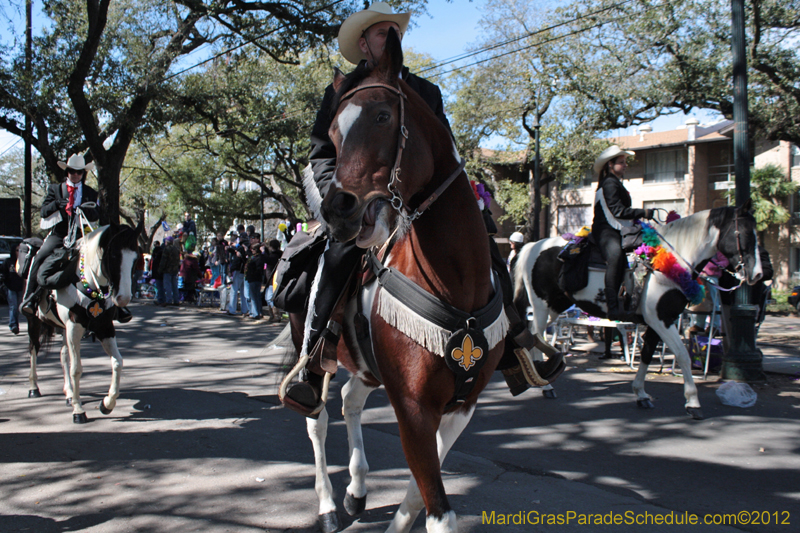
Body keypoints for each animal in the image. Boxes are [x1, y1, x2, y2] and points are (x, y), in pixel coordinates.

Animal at [27, 222, 141, 422]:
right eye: (113, 255)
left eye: (135, 258)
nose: (123, 298)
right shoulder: (74, 328)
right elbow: (77, 369)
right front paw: (78, 410)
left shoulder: (105, 327)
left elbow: (118, 362)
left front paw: (107, 404)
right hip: (35, 321)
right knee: (34, 348)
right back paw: (34, 388)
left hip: (64, 329)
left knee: (63, 354)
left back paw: (69, 393)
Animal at [512, 204, 764, 420]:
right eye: (743, 233)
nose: (759, 274)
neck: (671, 261)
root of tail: (532, 246)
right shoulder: (662, 320)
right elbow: (682, 354)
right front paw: (693, 403)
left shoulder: (659, 321)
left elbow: (647, 353)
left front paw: (641, 394)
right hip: (541, 305)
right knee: (536, 335)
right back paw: (546, 384)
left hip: (556, 307)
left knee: (535, 335)